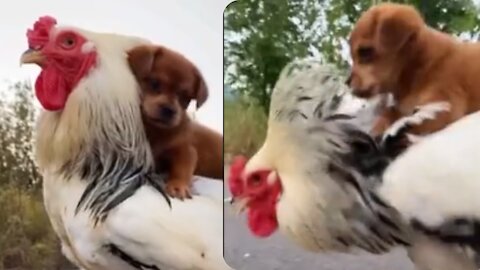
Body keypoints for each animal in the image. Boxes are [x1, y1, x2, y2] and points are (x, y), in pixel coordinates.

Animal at [128, 45, 224, 199]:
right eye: (154, 83)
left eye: (185, 97)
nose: (169, 110)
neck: (157, 131)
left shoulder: (186, 151)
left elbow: (182, 169)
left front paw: (178, 185)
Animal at [346, 3, 480, 139]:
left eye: (364, 52)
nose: (347, 82)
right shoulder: (403, 108)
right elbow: (390, 111)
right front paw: (377, 128)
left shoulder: (443, 105)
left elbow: (412, 123)